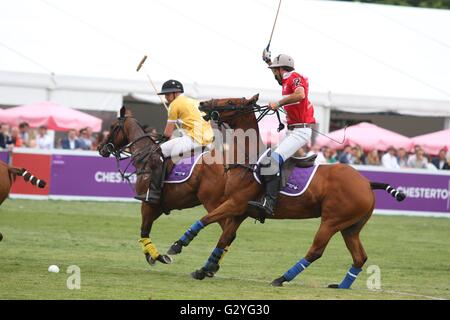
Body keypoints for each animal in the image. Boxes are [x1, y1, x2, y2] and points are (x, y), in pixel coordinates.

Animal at [98, 107, 232, 268]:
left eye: (112, 126)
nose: (100, 148)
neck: (144, 156)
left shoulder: (148, 202)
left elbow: (144, 230)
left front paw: (157, 257)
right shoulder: (160, 206)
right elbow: (144, 231)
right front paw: (151, 255)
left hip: (213, 203)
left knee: (227, 231)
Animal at [170, 95, 408, 290]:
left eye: (230, 101)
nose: (202, 103)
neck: (247, 160)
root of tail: (367, 182)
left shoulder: (235, 203)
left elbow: (205, 219)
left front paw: (178, 245)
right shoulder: (240, 212)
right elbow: (224, 239)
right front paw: (205, 269)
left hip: (332, 221)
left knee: (316, 251)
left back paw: (282, 278)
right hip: (350, 227)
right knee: (359, 257)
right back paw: (341, 286)